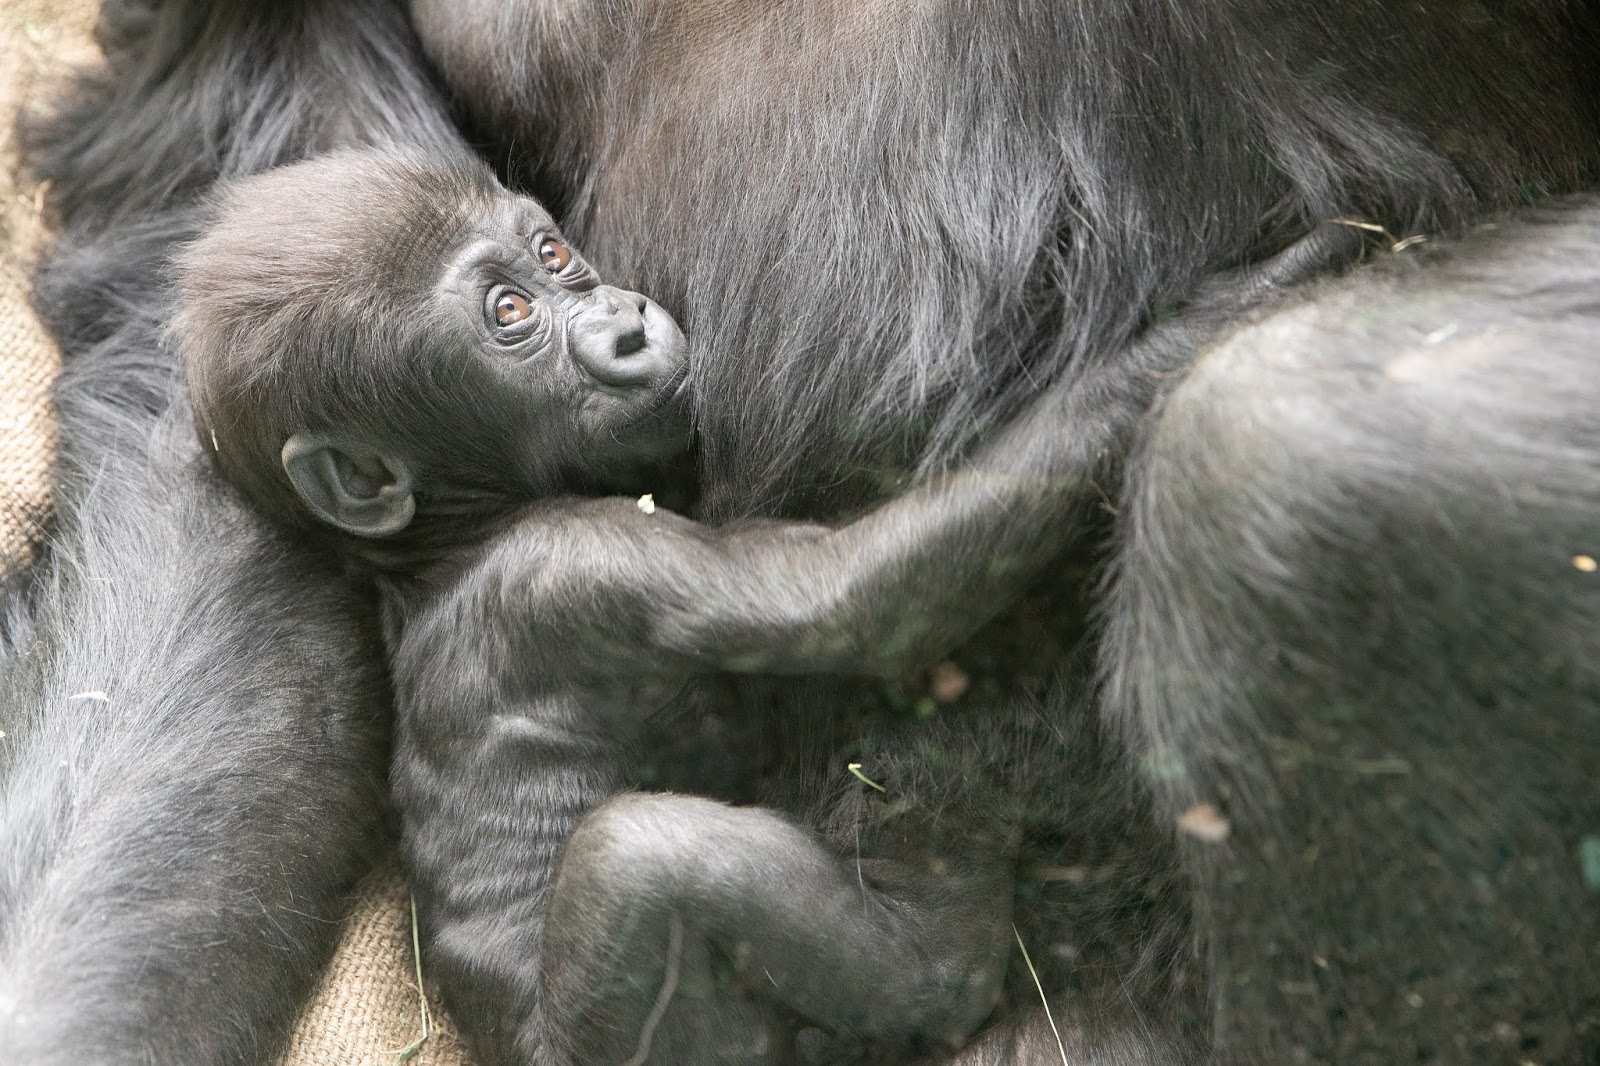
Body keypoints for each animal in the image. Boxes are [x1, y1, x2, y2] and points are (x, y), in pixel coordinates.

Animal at [175, 149, 1350, 1062]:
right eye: (509, 316)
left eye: (551, 257)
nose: (621, 324)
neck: (449, 540)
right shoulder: (584, 560)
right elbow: (842, 601)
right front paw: (1211, 321)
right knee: (642, 861)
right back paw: (939, 938)